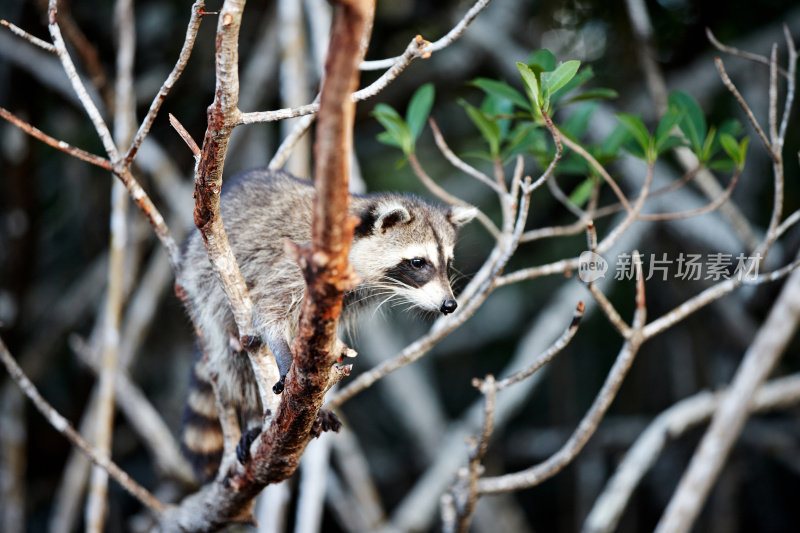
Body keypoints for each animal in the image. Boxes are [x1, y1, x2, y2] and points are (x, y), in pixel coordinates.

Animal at [178, 168, 476, 480]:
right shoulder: (298, 263)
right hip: (204, 294)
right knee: (235, 363)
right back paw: (254, 419)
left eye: (448, 263)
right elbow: (269, 311)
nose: (449, 305)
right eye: (418, 262)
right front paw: (284, 355)